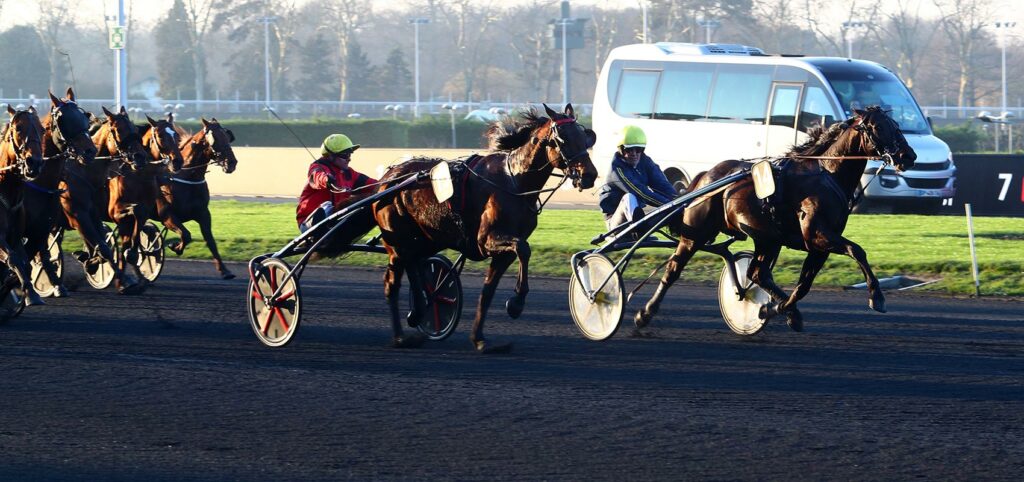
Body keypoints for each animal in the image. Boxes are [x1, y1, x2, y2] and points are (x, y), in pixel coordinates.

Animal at [149, 117, 237, 280]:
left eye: (227, 136)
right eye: (214, 139)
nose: (232, 163)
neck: (186, 176)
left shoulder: (203, 214)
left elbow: (210, 240)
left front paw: (224, 270)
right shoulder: (167, 215)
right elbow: (186, 235)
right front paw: (175, 247)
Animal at [374, 103, 598, 352]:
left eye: (584, 136)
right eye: (563, 139)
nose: (589, 175)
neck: (514, 181)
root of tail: (388, 176)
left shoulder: (503, 251)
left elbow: (488, 291)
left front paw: (479, 338)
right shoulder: (486, 240)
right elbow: (524, 248)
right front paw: (516, 303)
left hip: (427, 239)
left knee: (414, 264)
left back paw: (420, 309)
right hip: (396, 241)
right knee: (392, 281)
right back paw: (401, 336)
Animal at [634, 105, 917, 331]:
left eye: (896, 125)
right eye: (879, 127)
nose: (908, 155)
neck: (827, 174)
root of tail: (706, 176)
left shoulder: (819, 247)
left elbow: (804, 285)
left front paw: (774, 309)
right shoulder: (818, 236)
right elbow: (857, 250)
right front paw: (876, 296)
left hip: (768, 238)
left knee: (758, 273)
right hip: (696, 235)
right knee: (673, 269)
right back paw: (644, 313)